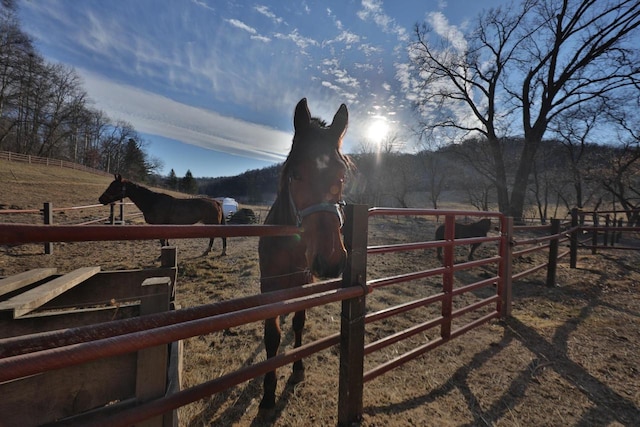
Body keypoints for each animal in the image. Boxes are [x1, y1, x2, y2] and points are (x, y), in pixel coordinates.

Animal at [99, 175, 229, 256]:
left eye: (115, 186)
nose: (101, 199)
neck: (152, 201)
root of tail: (216, 202)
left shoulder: (160, 225)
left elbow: (162, 241)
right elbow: (165, 240)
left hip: (213, 223)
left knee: (219, 236)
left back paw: (219, 252)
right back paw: (209, 251)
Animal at [256, 98, 350, 420]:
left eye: (341, 176)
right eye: (296, 174)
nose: (331, 259)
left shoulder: (303, 283)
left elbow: (299, 323)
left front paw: (297, 368)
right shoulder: (269, 288)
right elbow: (271, 337)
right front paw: (268, 394)